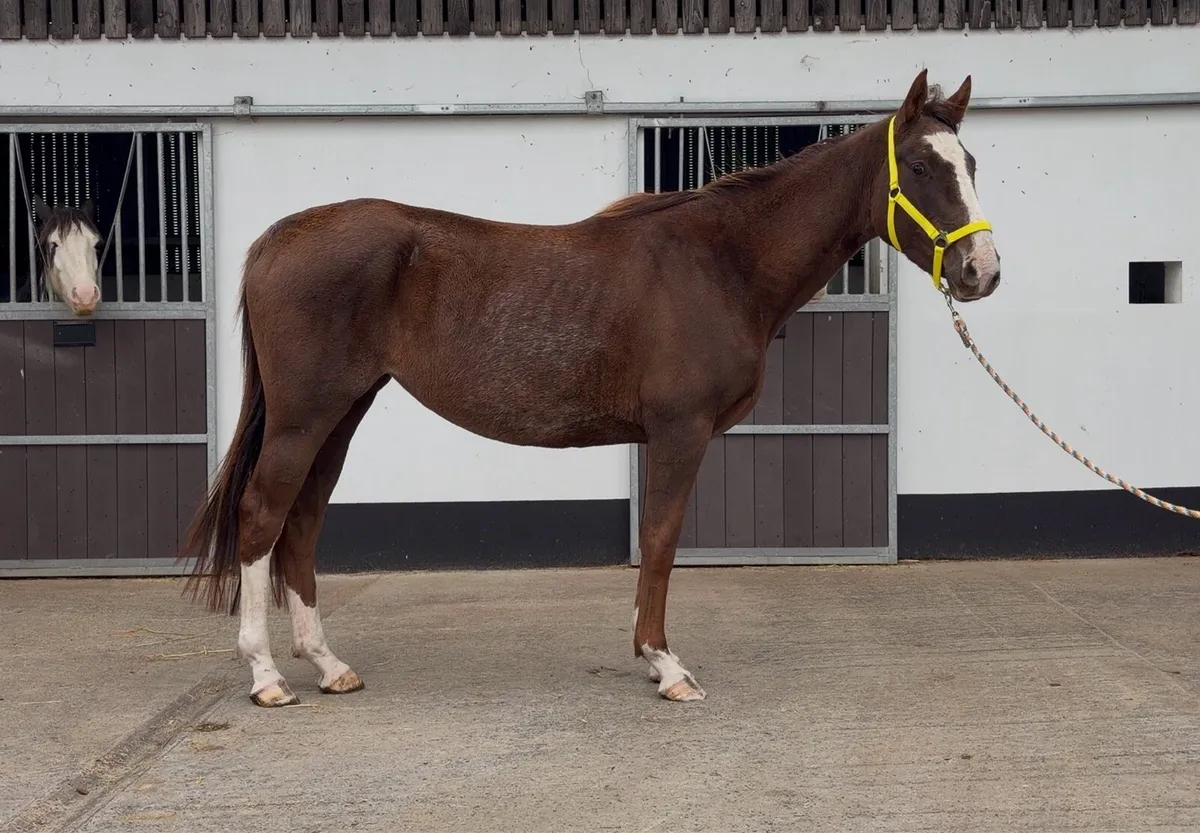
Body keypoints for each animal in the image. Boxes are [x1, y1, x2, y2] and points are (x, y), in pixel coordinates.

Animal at [181, 69, 1001, 708]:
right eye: (920, 167)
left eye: (971, 160)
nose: (982, 272)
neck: (720, 262)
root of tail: (278, 237)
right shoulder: (679, 431)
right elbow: (661, 540)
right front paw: (667, 666)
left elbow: (656, 540)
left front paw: (652, 657)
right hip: (304, 415)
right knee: (262, 514)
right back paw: (265, 676)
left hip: (343, 410)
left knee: (302, 520)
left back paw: (328, 665)